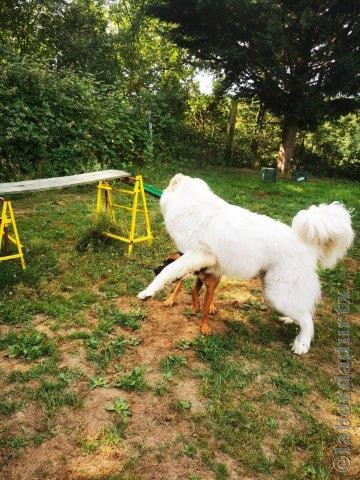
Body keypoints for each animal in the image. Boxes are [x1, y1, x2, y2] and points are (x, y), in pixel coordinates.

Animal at [139, 174, 354, 354]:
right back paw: (288, 320)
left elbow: (167, 271)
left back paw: (301, 344)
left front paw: (147, 292)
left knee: (308, 320)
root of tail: (309, 245)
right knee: (303, 312)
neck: (192, 206)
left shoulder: (195, 255)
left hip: (278, 294)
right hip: (273, 292)